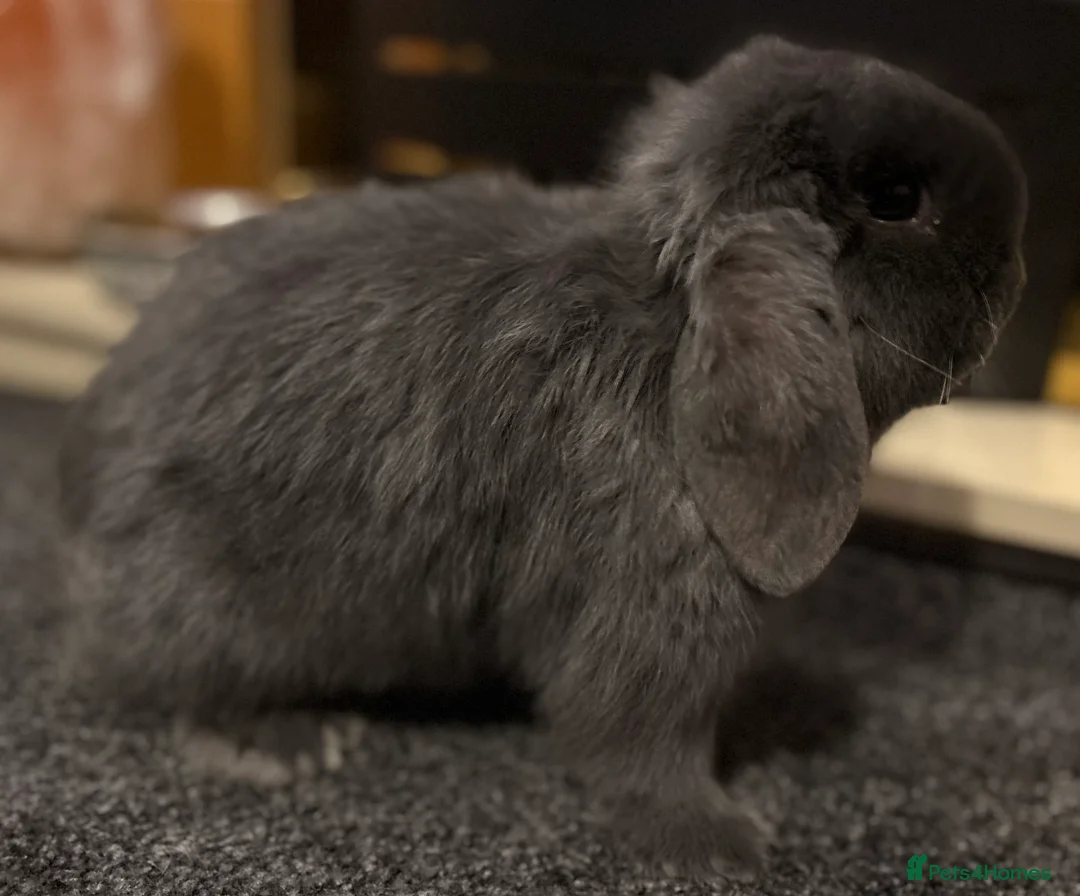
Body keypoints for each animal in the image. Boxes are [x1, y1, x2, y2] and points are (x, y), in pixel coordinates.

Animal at [55, 35, 1026, 881]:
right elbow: (645, 742)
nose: (1015, 269)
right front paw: (718, 846)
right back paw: (286, 742)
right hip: (218, 604)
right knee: (188, 683)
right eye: (895, 197)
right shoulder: (651, 622)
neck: (664, 329)